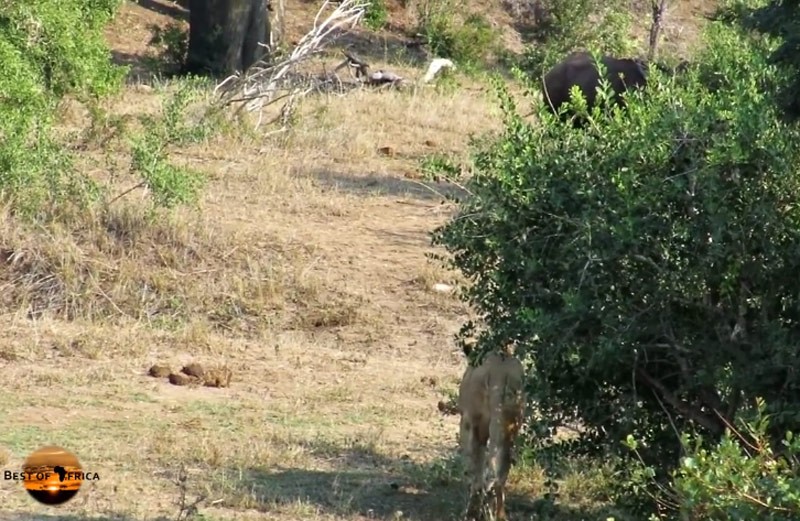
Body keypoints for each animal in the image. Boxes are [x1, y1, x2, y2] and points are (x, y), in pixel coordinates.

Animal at [456, 346, 524, 520]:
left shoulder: (470, 425)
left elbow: (475, 467)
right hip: (508, 427)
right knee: (501, 468)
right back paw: (499, 515)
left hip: (476, 424)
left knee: (483, 470)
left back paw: (476, 510)